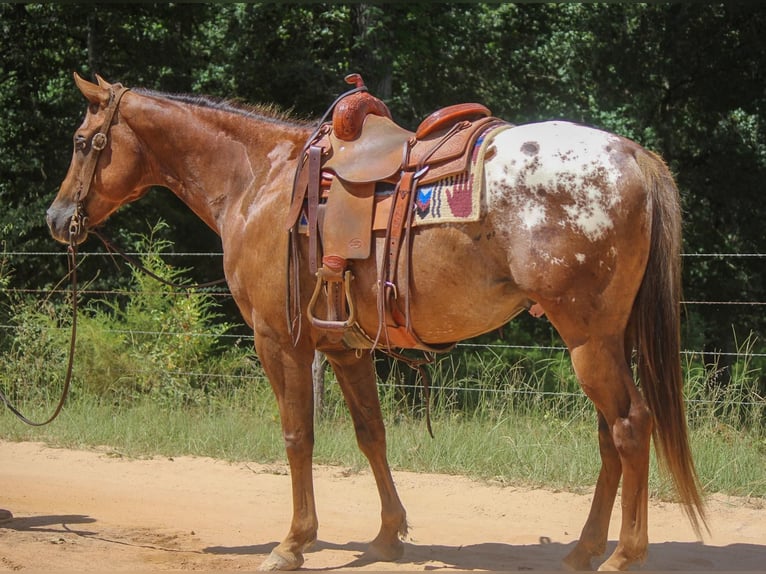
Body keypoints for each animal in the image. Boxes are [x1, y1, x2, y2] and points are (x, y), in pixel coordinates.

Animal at [46, 74, 708, 572]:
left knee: (630, 426)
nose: (56, 219)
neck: (258, 179)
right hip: (605, 340)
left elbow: (298, 436)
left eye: (82, 141)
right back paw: (583, 549)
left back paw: (623, 555)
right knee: (608, 437)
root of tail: (633, 156)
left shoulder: (278, 340)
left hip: (588, 340)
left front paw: (293, 543)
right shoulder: (346, 347)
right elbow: (372, 434)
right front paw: (389, 535)